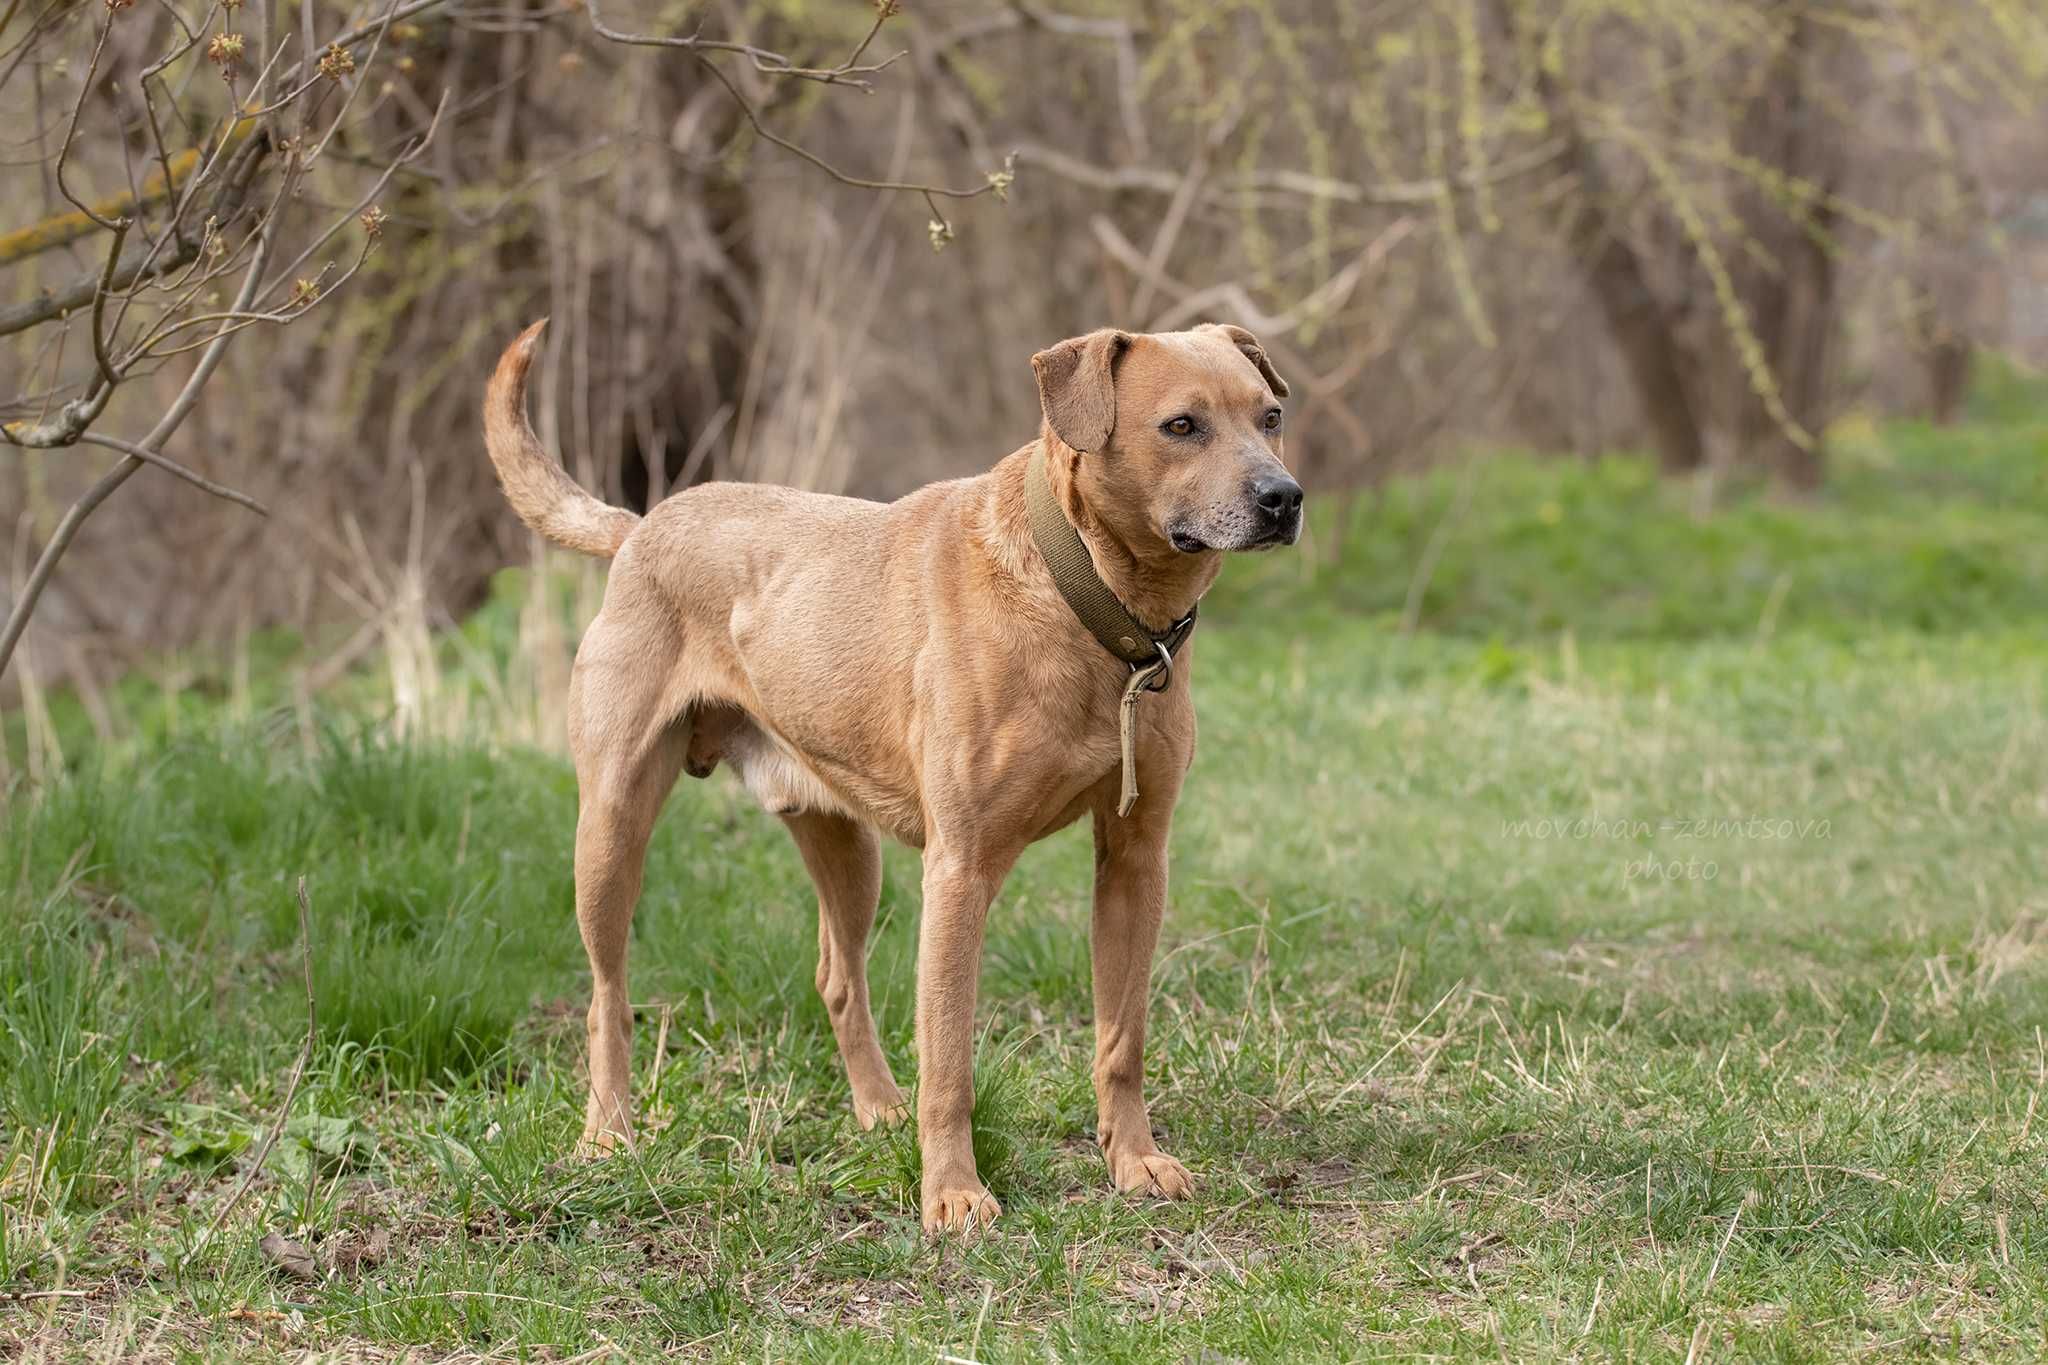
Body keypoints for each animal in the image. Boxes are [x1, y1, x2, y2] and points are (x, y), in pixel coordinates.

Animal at [483, 315, 1294, 1236]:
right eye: (1181, 426)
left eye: (1269, 416)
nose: (1285, 497)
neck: (1087, 598)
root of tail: (640, 527)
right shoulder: (960, 871)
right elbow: (950, 1060)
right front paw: (953, 1194)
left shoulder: (1134, 860)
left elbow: (1121, 1038)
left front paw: (1134, 1160)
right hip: (611, 830)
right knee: (606, 994)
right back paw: (608, 1135)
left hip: (846, 848)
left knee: (838, 978)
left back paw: (877, 1110)